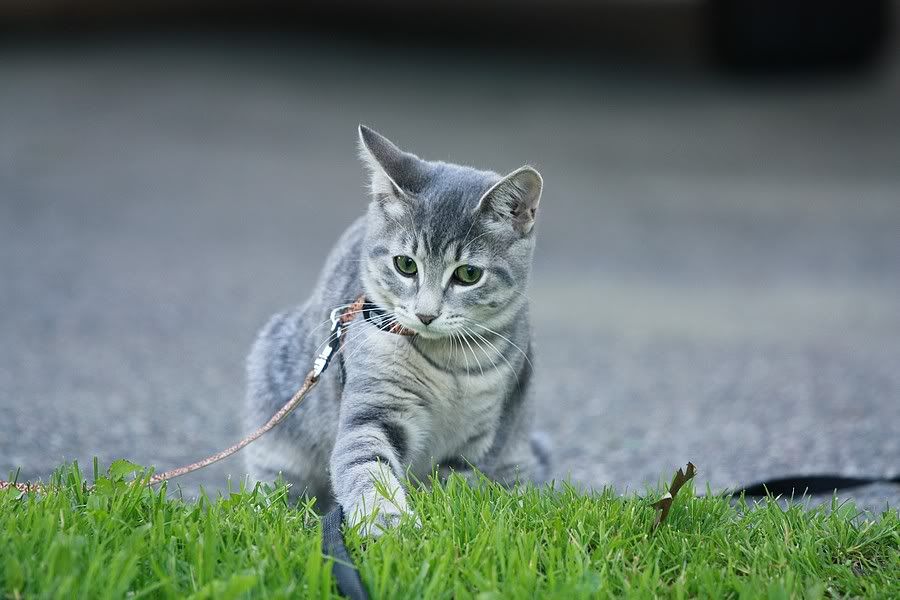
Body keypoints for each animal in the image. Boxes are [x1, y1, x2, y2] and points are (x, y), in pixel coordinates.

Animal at [241, 125, 548, 536]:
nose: (426, 314)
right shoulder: (375, 410)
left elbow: (458, 485)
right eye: (405, 265)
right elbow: (367, 466)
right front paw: (387, 520)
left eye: (468, 274)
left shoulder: (482, 437)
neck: (450, 365)